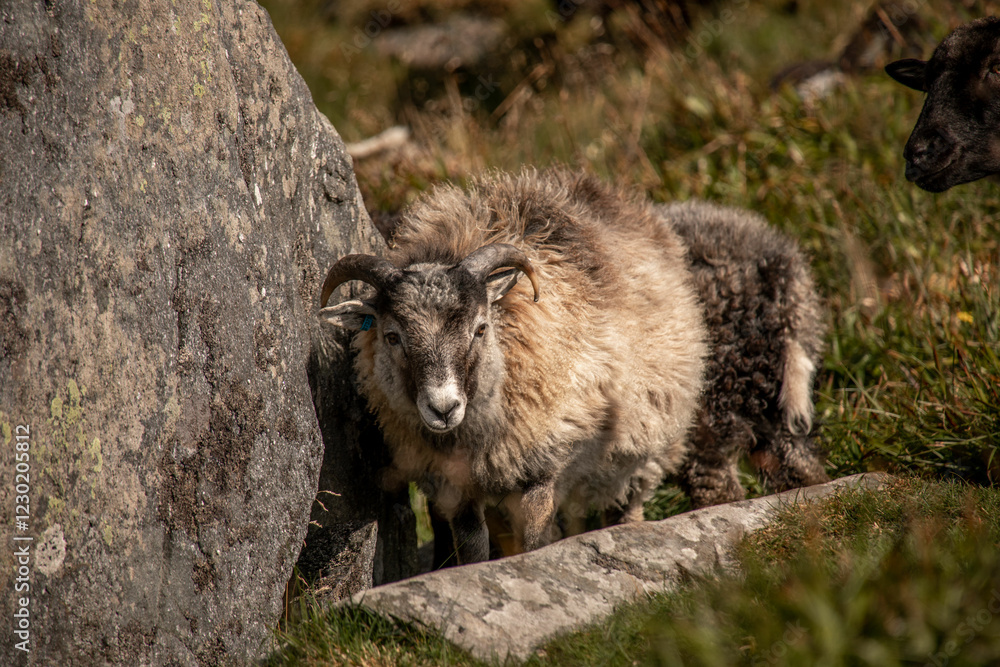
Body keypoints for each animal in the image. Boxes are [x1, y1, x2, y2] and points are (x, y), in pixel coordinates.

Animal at [318, 169, 709, 564]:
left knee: (625, 507)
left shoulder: (542, 469)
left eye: (480, 328)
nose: (443, 408)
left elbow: (535, 543)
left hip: (642, 456)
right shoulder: (457, 488)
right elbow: (473, 551)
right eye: (392, 336)